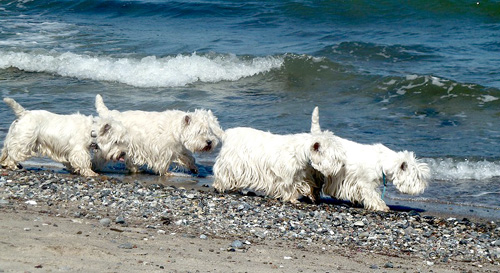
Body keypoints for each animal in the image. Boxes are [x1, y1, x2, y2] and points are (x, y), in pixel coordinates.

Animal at [0, 96, 129, 175]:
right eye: (116, 141)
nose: (123, 153)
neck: (91, 131)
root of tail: (24, 113)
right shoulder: (79, 149)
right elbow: (82, 160)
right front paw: (90, 172)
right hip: (24, 141)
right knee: (14, 153)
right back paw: (11, 165)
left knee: (6, 151)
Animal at [94, 93, 224, 174]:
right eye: (199, 131)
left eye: (210, 131)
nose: (209, 142)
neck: (177, 130)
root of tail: (110, 114)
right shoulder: (163, 149)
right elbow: (164, 163)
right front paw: (166, 173)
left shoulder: (179, 148)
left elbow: (188, 158)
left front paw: (193, 168)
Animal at [213, 123, 346, 202]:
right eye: (334, 157)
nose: (343, 165)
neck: (304, 154)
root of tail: (226, 134)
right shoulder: (287, 176)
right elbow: (290, 188)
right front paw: (293, 199)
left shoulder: (305, 175)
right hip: (229, 163)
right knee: (222, 175)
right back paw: (220, 187)